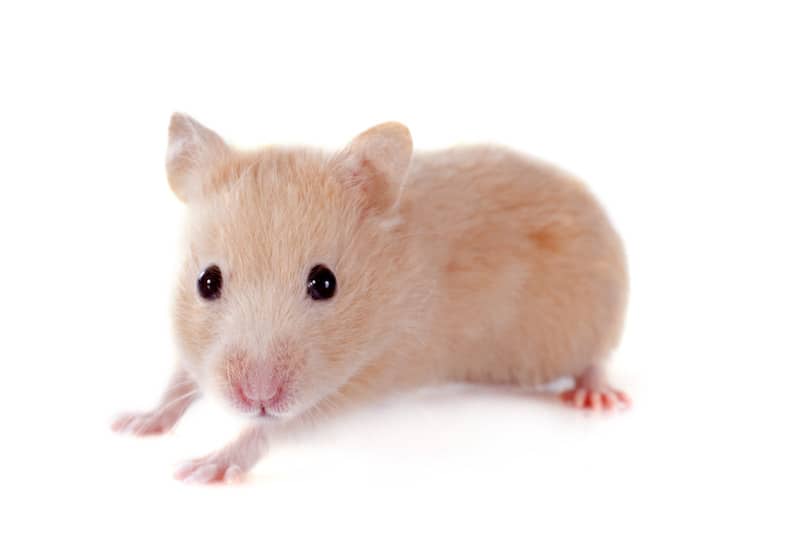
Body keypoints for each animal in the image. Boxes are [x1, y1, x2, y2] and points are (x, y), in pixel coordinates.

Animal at [112, 114, 629, 483]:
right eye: (207, 281)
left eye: (325, 283)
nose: (256, 396)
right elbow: (179, 381)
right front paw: (135, 424)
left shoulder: (359, 380)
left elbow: (272, 428)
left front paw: (203, 469)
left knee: (597, 358)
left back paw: (598, 398)